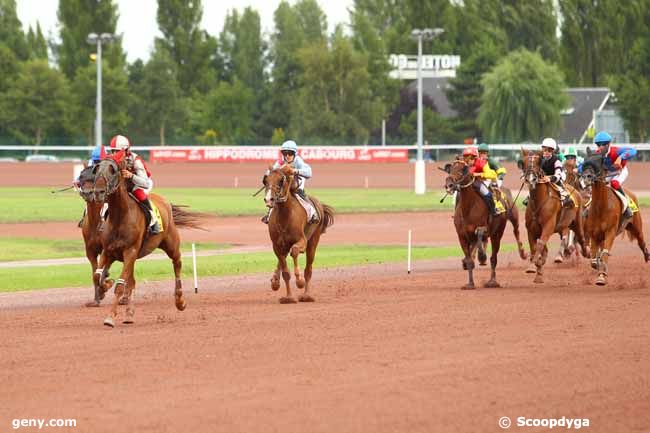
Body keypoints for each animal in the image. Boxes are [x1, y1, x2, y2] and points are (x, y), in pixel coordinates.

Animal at [91, 154, 202, 326]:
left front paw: (110, 317)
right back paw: (129, 314)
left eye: (113, 170)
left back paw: (180, 301)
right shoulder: (108, 251)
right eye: (96, 169)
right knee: (132, 281)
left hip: (171, 244)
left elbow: (120, 285)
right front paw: (105, 287)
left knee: (177, 264)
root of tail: (165, 202)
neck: (120, 217)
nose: (99, 192)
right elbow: (98, 277)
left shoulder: (130, 251)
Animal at [262, 164, 334, 302]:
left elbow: (295, 252)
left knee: (308, 269)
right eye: (266, 180)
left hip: (313, 242)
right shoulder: (277, 245)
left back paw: (306, 295)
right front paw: (288, 297)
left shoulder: (302, 240)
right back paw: (275, 281)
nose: (269, 199)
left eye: (281, 180)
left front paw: (299, 280)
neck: (285, 216)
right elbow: (285, 271)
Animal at [446, 158, 506, 286]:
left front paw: (482, 257)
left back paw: (492, 281)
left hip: (497, 234)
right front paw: (470, 283)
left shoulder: (483, 228)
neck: (468, 208)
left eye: (462, 170)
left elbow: (480, 233)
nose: (449, 184)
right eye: (451, 169)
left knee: (493, 258)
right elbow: (469, 260)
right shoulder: (462, 236)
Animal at [516, 149, 588, 284]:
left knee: (580, 237)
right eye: (525, 162)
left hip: (577, 222)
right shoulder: (531, 230)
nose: (531, 179)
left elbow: (539, 245)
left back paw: (586, 252)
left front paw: (533, 265)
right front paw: (537, 271)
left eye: (538, 162)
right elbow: (535, 247)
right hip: (563, 225)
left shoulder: (548, 226)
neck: (539, 201)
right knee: (564, 235)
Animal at [576, 157, 644, 286]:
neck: (601, 207)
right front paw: (599, 268)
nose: (585, 178)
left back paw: (647, 255)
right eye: (585, 164)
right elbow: (594, 260)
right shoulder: (594, 235)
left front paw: (602, 277)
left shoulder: (610, 232)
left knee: (641, 240)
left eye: (598, 164)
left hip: (636, 226)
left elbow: (605, 253)